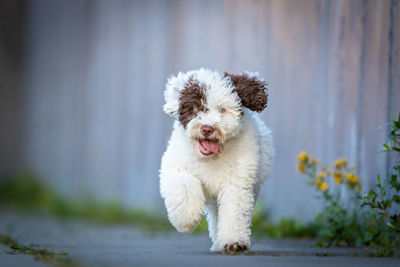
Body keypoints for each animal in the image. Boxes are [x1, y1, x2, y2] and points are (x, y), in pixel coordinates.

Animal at [158, 68, 274, 254]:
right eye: (195, 108)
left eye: (222, 110)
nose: (207, 128)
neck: (211, 157)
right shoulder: (176, 167)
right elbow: (184, 186)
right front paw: (186, 219)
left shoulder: (237, 182)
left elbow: (234, 211)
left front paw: (234, 242)